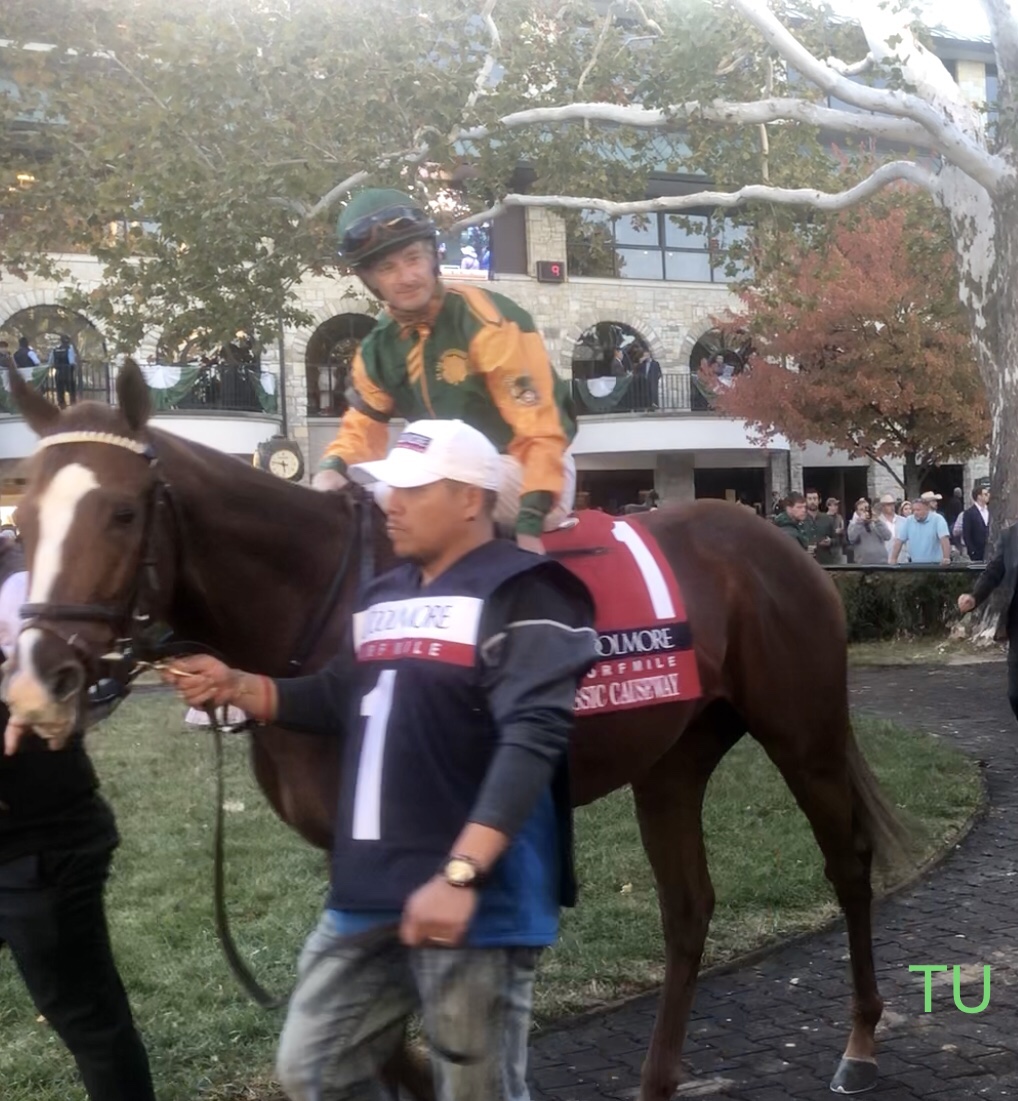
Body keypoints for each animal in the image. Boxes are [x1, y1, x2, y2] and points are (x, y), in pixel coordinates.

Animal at [1, 363, 906, 1101]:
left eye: (122, 512)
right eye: (25, 519)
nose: (40, 680)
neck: (322, 605)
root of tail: (775, 540)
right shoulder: (353, 844)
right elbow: (366, 1026)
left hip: (804, 734)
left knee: (849, 863)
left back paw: (861, 1041)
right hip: (672, 757)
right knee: (689, 907)